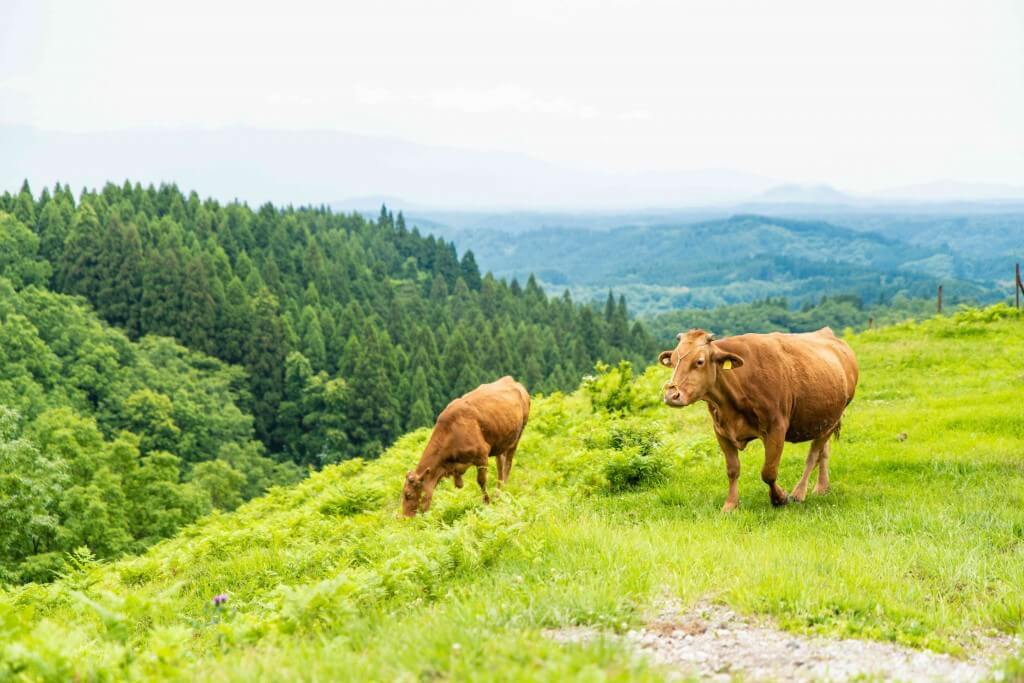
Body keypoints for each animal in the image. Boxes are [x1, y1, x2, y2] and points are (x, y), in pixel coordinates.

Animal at [399, 374, 528, 518]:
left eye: (408, 495)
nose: (405, 518)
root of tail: (510, 380)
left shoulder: (482, 455)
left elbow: (481, 481)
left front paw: (486, 503)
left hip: (519, 433)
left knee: (508, 463)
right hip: (500, 440)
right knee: (500, 463)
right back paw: (498, 491)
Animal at [655, 327, 856, 509]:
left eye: (699, 361)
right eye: (673, 361)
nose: (671, 395)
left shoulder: (776, 428)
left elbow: (768, 471)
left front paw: (780, 498)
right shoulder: (721, 431)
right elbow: (733, 470)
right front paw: (730, 505)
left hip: (835, 416)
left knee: (813, 454)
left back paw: (799, 492)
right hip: (824, 418)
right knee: (823, 451)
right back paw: (822, 487)